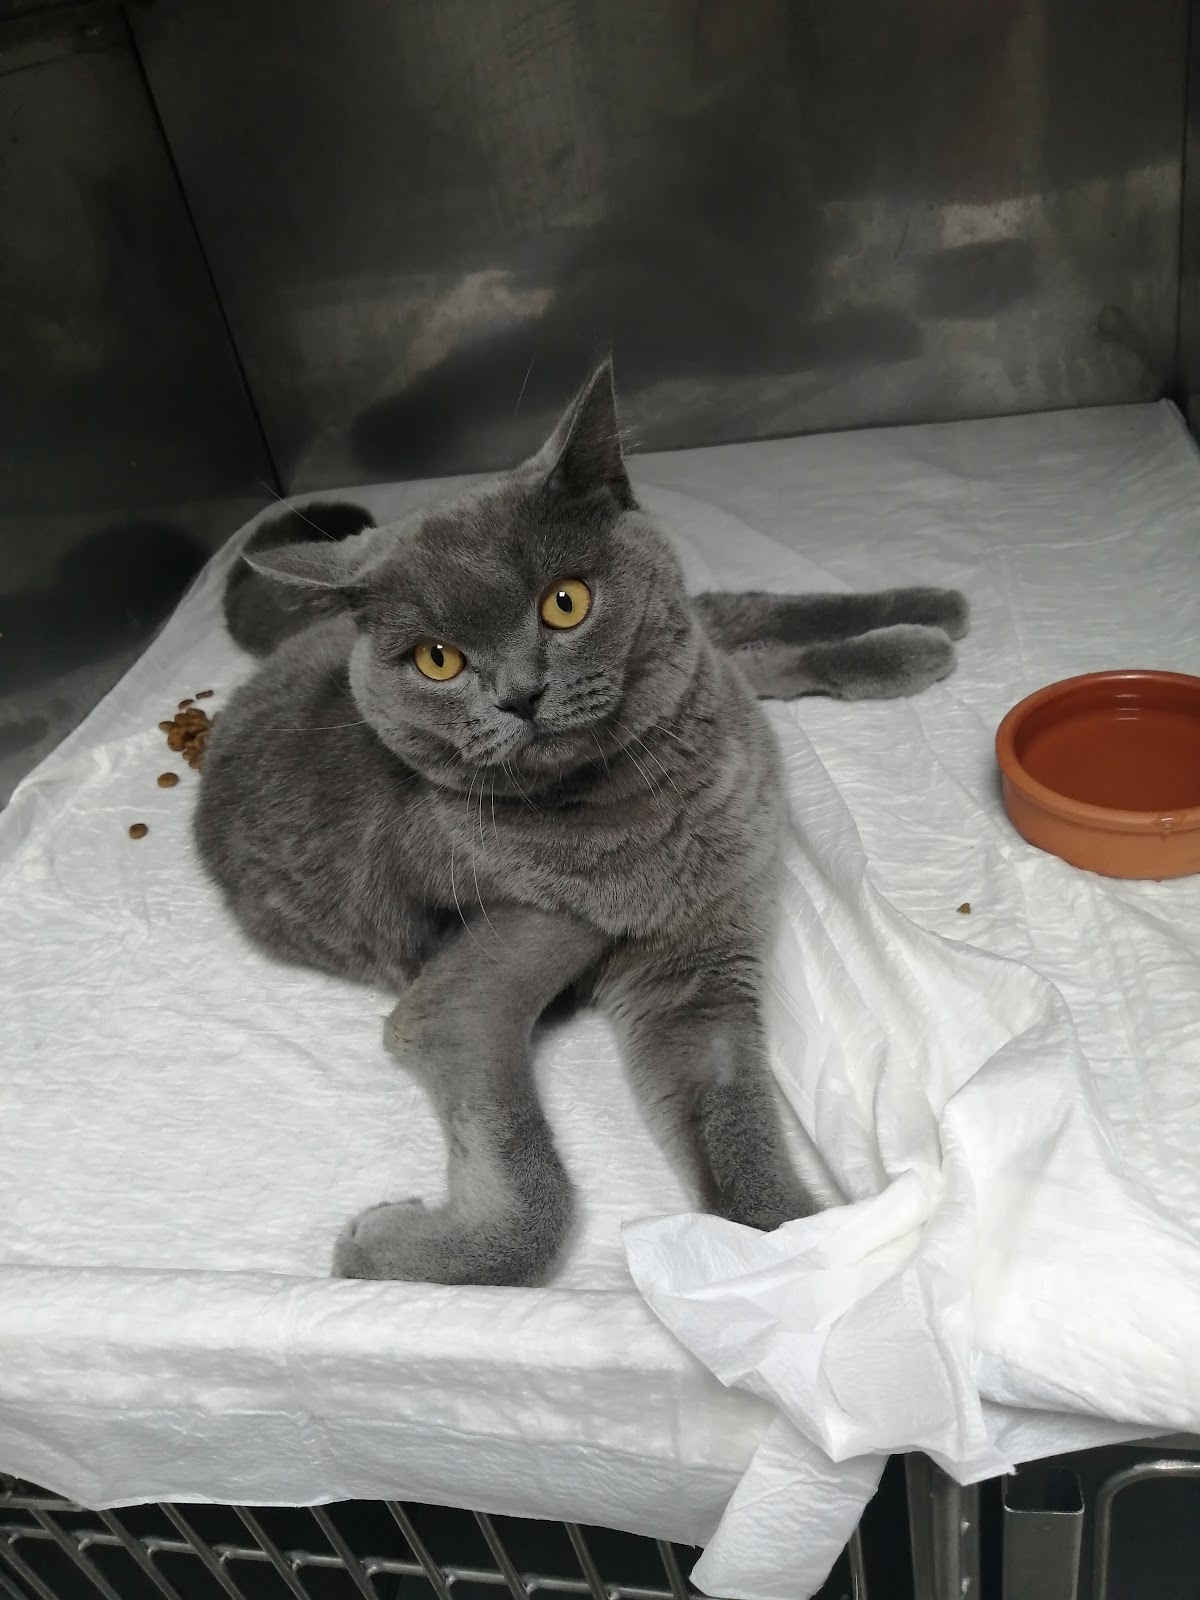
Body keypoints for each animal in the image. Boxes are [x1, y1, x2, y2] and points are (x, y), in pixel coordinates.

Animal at [195, 363, 968, 1287]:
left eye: (565, 604)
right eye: (436, 660)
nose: (519, 695)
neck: (659, 797)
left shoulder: (698, 951)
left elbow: (739, 1140)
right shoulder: (485, 994)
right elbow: (560, 1192)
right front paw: (385, 1248)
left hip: (694, 641)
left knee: (739, 623)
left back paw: (926, 615)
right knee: (746, 646)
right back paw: (918, 637)